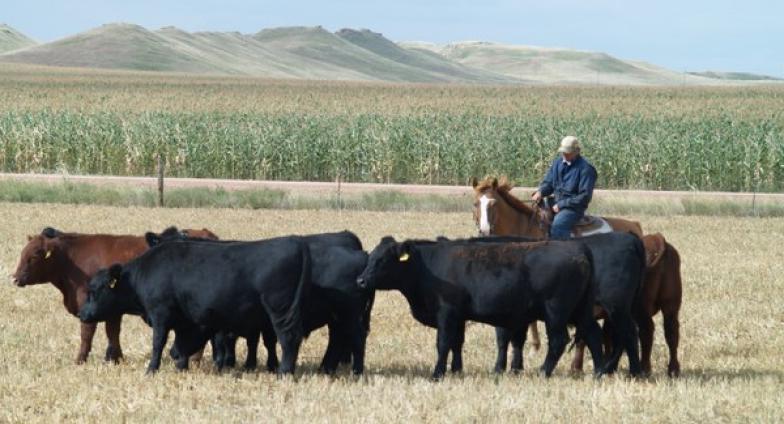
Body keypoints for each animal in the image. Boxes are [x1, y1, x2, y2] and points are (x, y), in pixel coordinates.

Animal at [147, 229, 374, 374]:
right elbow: (254, 340)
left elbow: (226, 339)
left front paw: (226, 363)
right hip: (338, 316)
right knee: (339, 339)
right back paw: (327, 368)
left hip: (346, 314)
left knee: (353, 337)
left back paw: (353, 370)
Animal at [356, 237, 608, 380]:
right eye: (370, 257)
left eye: (383, 260)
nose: (361, 280)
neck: (426, 267)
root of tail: (577, 247)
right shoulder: (458, 316)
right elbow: (457, 343)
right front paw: (456, 371)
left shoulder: (446, 313)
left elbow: (443, 343)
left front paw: (437, 374)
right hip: (580, 310)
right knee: (594, 335)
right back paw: (599, 372)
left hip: (556, 311)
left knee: (558, 340)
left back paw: (543, 372)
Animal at [444, 234, 648, 376]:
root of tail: (630, 239)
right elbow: (516, 340)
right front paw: (515, 368)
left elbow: (503, 339)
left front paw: (500, 368)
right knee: (612, 335)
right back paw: (607, 369)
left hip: (613, 308)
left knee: (627, 334)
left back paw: (632, 371)